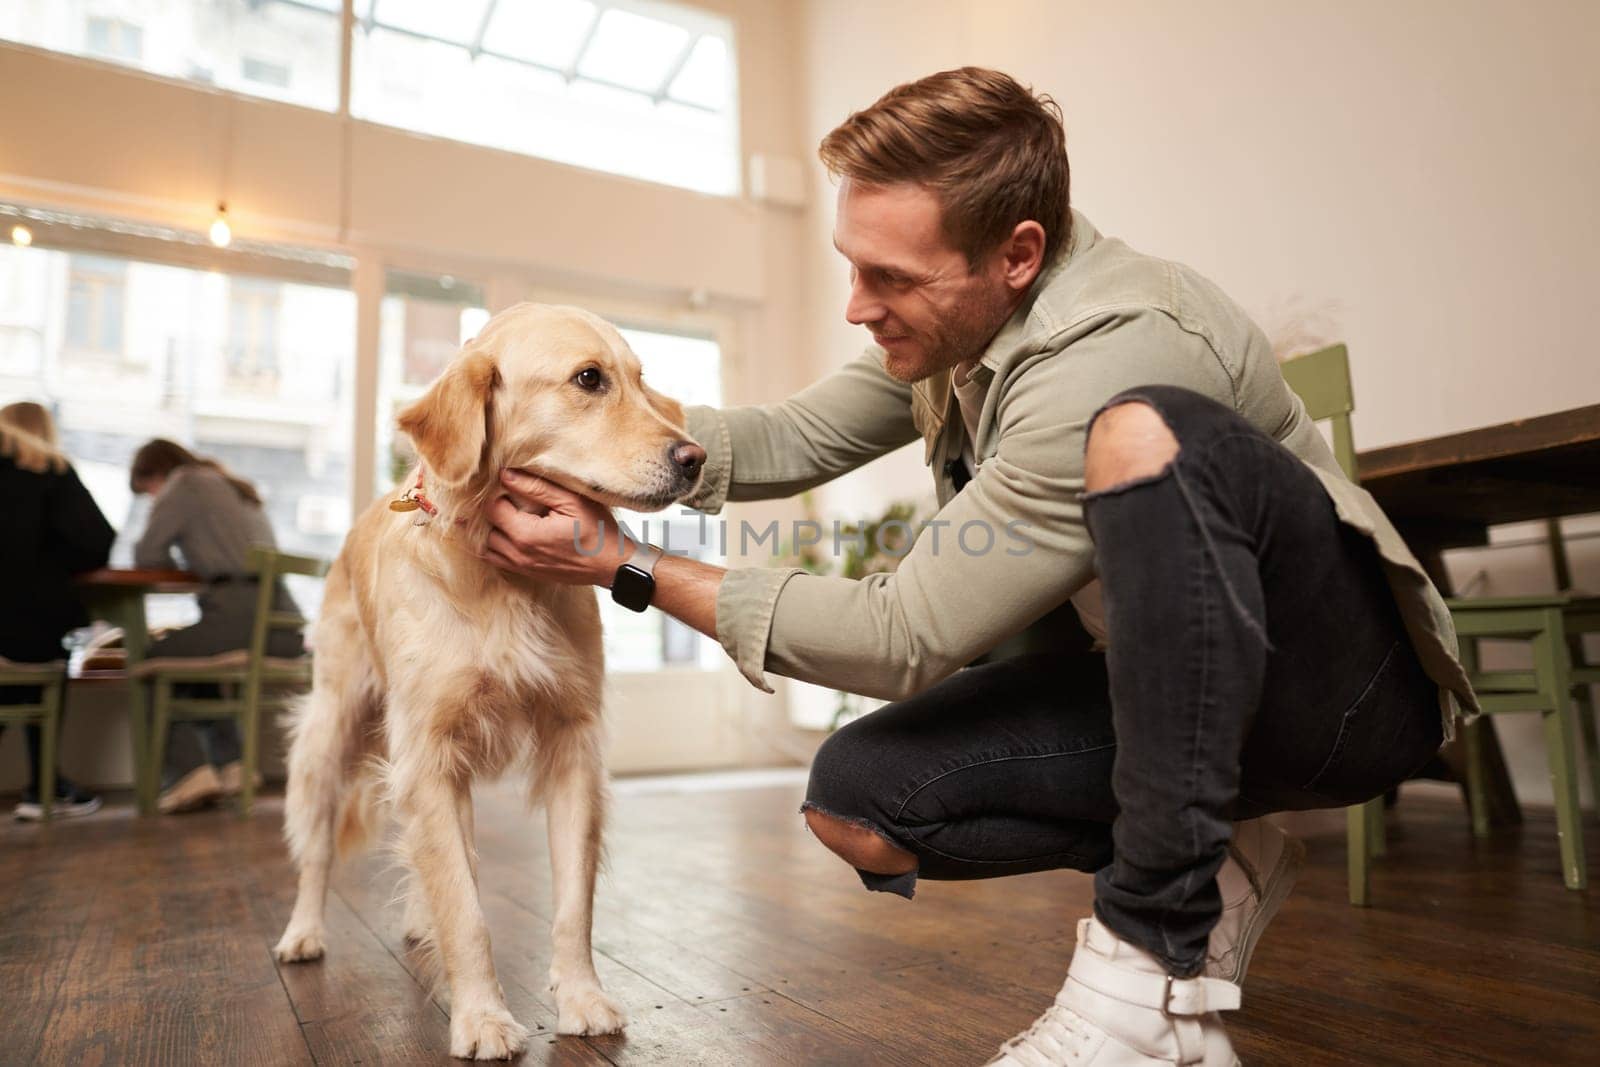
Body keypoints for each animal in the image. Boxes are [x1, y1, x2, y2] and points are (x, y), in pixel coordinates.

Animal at [272, 302, 704, 1062]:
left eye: (640, 378)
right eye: (589, 379)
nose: (696, 457)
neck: (503, 577)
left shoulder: (570, 744)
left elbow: (570, 901)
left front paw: (582, 997)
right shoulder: (428, 754)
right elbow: (467, 909)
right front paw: (480, 1018)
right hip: (331, 734)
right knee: (320, 849)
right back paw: (303, 932)